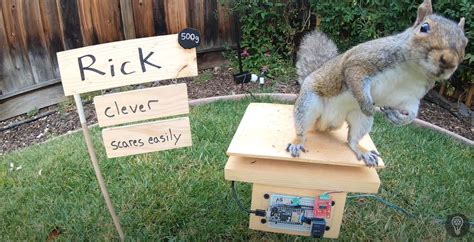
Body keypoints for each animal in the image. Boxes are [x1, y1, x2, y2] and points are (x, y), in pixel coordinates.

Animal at [286, 0, 468, 166]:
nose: (449, 61)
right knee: (302, 127)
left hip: (360, 120)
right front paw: (369, 106)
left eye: (465, 42)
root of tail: (326, 123)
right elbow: (355, 77)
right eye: (424, 28)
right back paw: (297, 142)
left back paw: (362, 151)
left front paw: (401, 118)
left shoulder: (412, 95)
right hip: (309, 102)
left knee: (352, 140)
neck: (413, 70)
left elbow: (412, 110)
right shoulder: (360, 63)